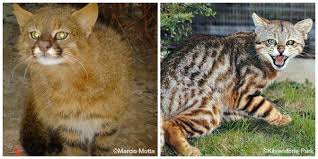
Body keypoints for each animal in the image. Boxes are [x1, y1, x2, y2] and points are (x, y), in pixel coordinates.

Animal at [13, 3, 133, 155]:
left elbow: (101, 149)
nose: (43, 46)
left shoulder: (109, 125)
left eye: (61, 34)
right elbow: (74, 150)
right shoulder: (71, 128)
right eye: (34, 34)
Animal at [161, 13, 314, 155]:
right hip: (209, 109)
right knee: (169, 125)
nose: (281, 50)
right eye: (271, 41)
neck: (258, 56)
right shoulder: (243, 94)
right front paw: (281, 119)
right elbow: (267, 107)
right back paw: (187, 150)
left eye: (290, 42)